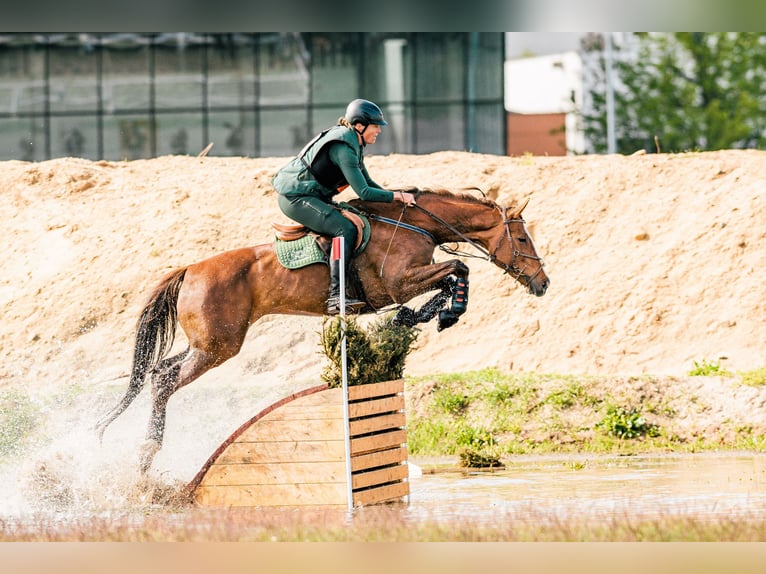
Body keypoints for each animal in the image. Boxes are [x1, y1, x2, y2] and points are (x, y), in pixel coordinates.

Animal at [95, 188, 549, 472]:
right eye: (524, 238)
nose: (543, 283)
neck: (415, 224)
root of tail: (191, 269)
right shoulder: (400, 282)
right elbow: (459, 270)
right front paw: (445, 312)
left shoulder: (411, 281)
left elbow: (452, 276)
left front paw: (420, 316)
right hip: (217, 347)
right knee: (164, 381)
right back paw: (149, 448)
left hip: (206, 343)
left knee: (158, 371)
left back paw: (143, 451)